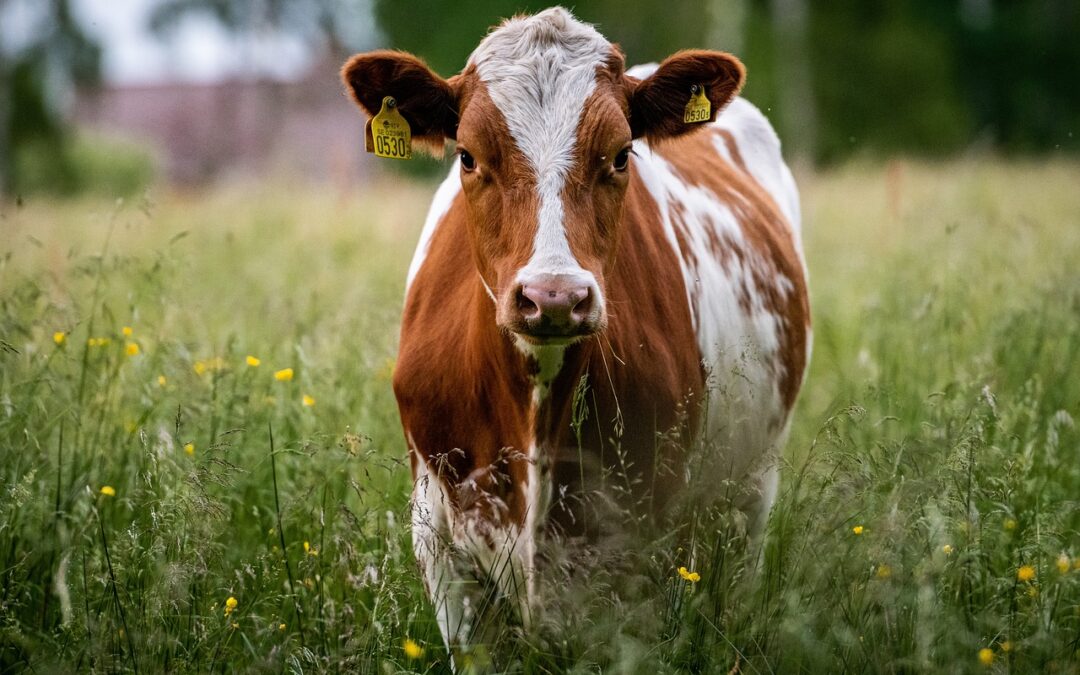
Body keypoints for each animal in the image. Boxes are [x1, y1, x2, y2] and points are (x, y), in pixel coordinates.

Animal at [341, 5, 807, 656]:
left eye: (620, 155)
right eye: (468, 156)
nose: (554, 296)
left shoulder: (642, 545)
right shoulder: (440, 544)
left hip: (751, 488)